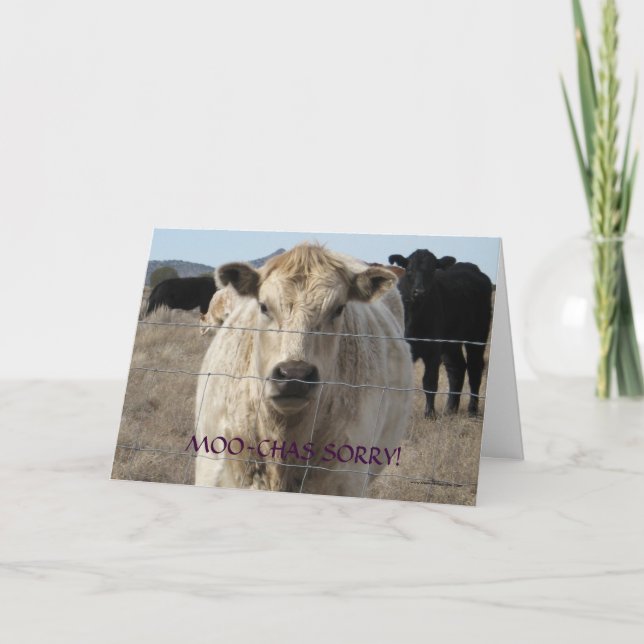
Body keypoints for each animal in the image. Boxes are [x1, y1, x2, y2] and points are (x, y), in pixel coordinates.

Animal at [388, 250, 492, 419]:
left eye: (432, 271)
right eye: (409, 270)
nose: (419, 292)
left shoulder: (433, 349)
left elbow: (429, 382)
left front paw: (430, 413)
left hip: (477, 336)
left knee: (474, 368)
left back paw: (472, 409)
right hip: (451, 343)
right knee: (456, 368)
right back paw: (450, 408)